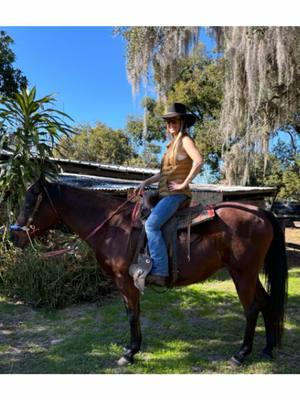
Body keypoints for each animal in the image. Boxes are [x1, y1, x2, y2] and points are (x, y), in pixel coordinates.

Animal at [11, 180, 288, 368]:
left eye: (30, 202)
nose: (13, 237)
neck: (114, 227)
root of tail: (262, 212)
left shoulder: (124, 281)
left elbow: (132, 314)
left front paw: (129, 353)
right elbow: (135, 312)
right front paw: (134, 348)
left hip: (242, 273)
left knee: (251, 308)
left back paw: (240, 355)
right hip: (247, 273)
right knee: (266, 303)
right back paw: (267, 349)